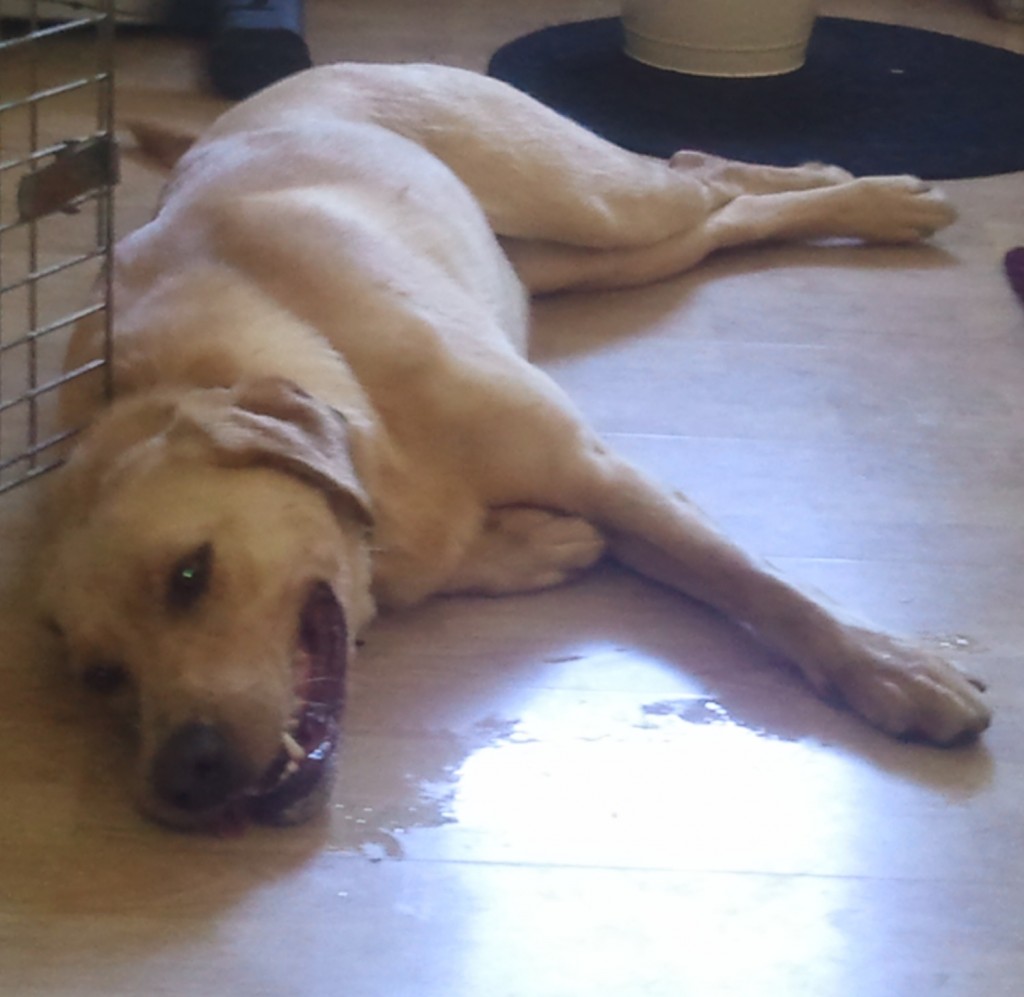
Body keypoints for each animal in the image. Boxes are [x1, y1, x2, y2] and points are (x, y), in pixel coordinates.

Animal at [36, 58, 987, 831]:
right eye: (104, 676)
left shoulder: (598, 471)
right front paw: (536, 544)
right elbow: (439, 564)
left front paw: (890, 668)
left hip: (597, 203)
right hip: (586, 259)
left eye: (188, 575)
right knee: (723, 219)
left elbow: (758, 579)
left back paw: (870, 192)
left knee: (696, 171)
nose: (181, 779)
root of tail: (271, 93)